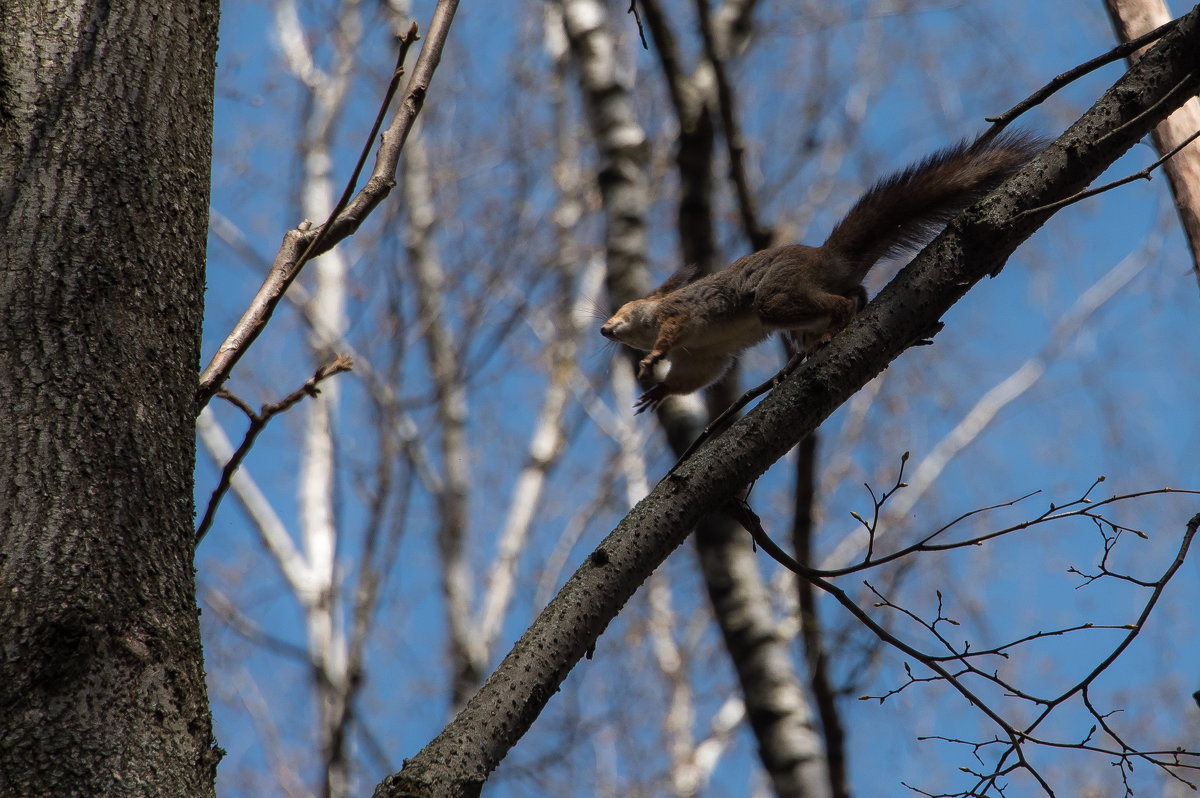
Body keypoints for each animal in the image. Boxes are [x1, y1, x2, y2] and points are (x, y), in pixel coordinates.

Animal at [600, 130, 1041, 410]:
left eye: (625, 308)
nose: (604, 329)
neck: (653, 318)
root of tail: (823, 258)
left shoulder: (680, 314)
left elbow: (673, 335)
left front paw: (652, 360)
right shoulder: (704, 355)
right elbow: (695, 377)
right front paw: (660, 391)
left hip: (778, 297)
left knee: (835, 304)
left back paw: (834, 327)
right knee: (851, 297)